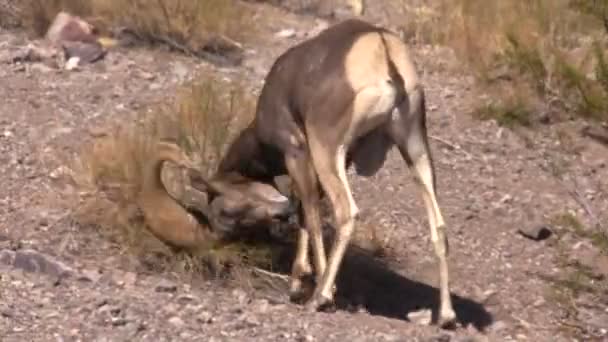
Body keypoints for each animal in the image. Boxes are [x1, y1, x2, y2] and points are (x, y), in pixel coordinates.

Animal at [202, 18, 458, 326]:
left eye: (223, 210)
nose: (218, 239)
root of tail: (381, 48)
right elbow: (303, 210)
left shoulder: (297, 152)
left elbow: (310, 213)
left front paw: (310, 287)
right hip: (415, 150)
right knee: (439, 227)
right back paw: (445, 316)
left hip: (328, 152)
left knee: (345, 213)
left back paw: (320, 297)